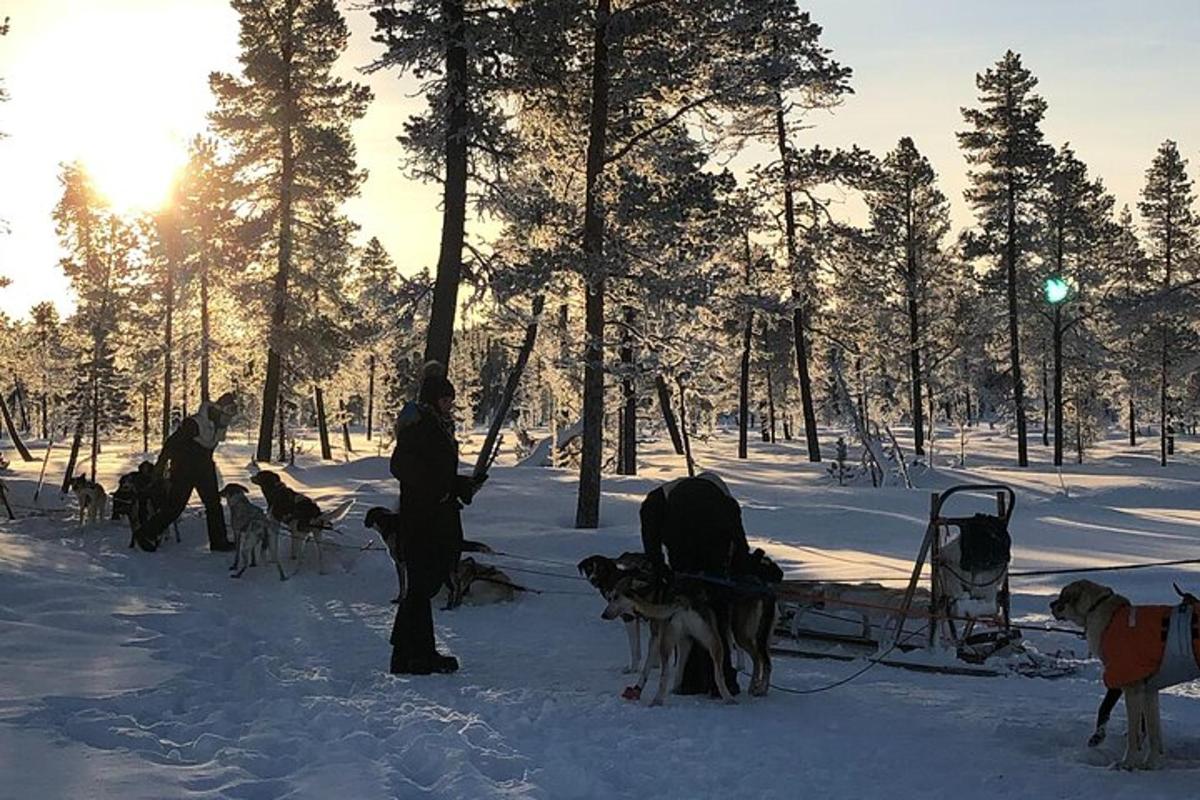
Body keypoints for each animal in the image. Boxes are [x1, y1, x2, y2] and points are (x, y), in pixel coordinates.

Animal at [1051, 582, 1200, 767]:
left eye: (1063, 596)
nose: (1050, 605)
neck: (1099, 609)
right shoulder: (1149, 691)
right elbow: (1154, 733)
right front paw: (1150, 764)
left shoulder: (1131, 688)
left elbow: (1132, 732)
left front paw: (1127, 763)